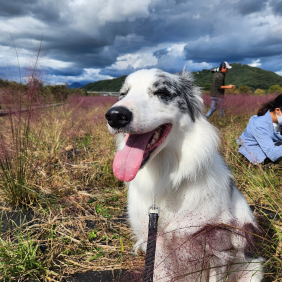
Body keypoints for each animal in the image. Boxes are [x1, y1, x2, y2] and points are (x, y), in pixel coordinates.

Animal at [104, 69, 264, 282]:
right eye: (123, 94)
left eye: (162, 92)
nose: (115, 115)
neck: (165, 178)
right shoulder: (157, 246)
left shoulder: (218, 246)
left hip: (254, 268)